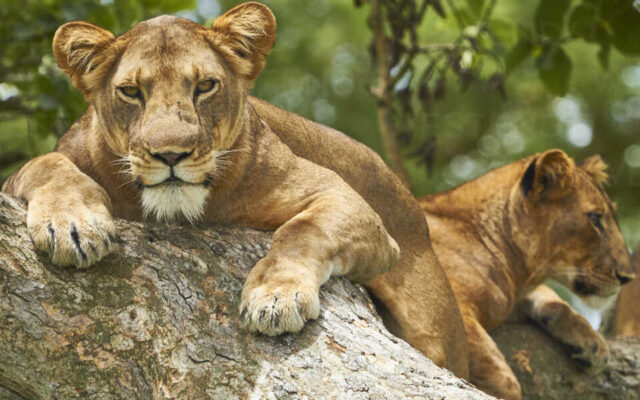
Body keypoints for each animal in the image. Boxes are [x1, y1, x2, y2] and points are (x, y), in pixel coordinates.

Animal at [1, 2, 470, 377]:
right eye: (131, 92)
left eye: (205, 86)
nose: (170, 154)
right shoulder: (39, 168)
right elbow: (46, 164)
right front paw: (72, 226)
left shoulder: (345, 199)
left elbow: (302, 231)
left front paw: (275, 297)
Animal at [417, 149, 634, 400]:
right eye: (596, 219)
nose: (628, 277)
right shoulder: (452, 302)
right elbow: (501, 377)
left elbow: (550, 296)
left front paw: (593, 345)